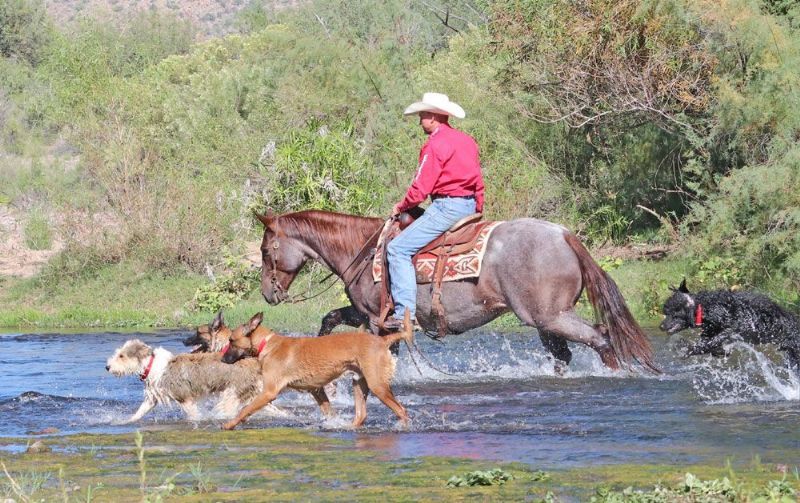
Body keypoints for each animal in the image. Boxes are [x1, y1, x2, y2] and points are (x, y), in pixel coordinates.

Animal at [254, 210, 658, 373]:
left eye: (264, 249)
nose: (268, 294)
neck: (363, 248)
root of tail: (563, 234)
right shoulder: (367, 314)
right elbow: (330, 318)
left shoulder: (377, 319)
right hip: (548, 322)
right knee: (565, 354)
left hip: (550, 316)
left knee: (600, 337)